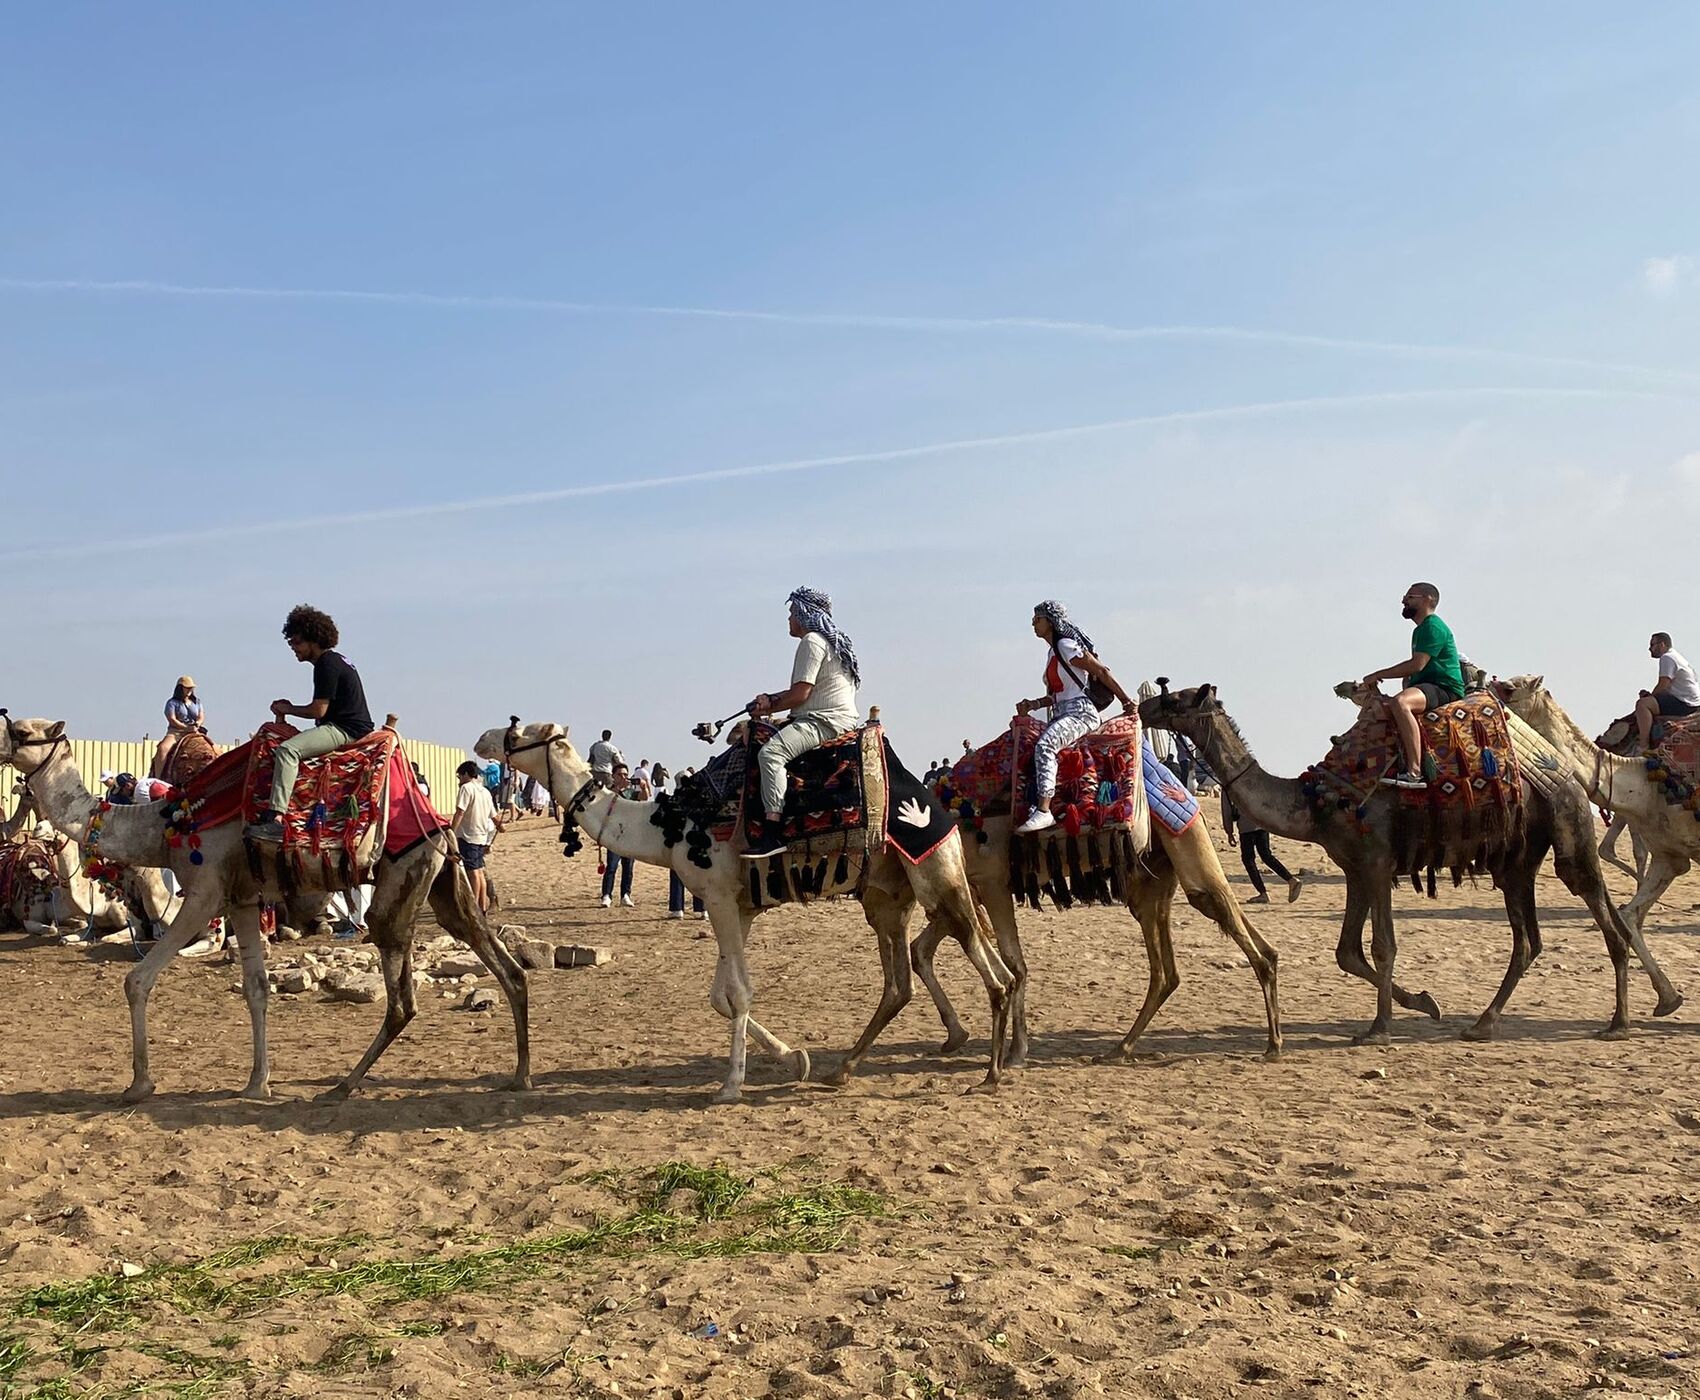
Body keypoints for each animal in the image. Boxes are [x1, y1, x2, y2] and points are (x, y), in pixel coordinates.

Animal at [0, 710, 527, 1107]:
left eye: (21, 731)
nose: (2, 751)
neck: (166, 824)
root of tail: (439, 824)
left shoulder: (205, 893)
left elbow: (138, 980)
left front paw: (139, 1085)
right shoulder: (243, 899)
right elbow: (256, 989)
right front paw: (257, 1083)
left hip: (399, 884)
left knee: (402, 1000)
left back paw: (342, 1086)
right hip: (441, 884)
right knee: (502, 962)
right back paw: (518, 1075)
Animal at [472, 720, 1013, 1107]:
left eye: (518, 731)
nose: (481, 741)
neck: (665, 827)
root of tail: (939, 810)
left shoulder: (716, 896)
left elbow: (739, 993)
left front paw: (731, 1084)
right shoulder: (736, 905)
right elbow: (720, 997)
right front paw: (796, 1059)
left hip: (935, 872)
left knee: (990, 969)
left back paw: (990, 1074)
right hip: (886, 896)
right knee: (902, 981)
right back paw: (844, 1069)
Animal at [1135, 683, 1679, 1046]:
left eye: (1178, 697)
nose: (1143, 705)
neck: (1314, 801)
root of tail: (1568, 772)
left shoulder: (1376, 864)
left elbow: (1381, 947)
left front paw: (1379, 1029)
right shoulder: (1355, 868)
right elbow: (1347, 952)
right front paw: (1425, 1004)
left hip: (1567, 831)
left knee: (1604, 914)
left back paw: (1620, 1022)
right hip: (1517, 860)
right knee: (1529, 940)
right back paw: (1483, 1022)